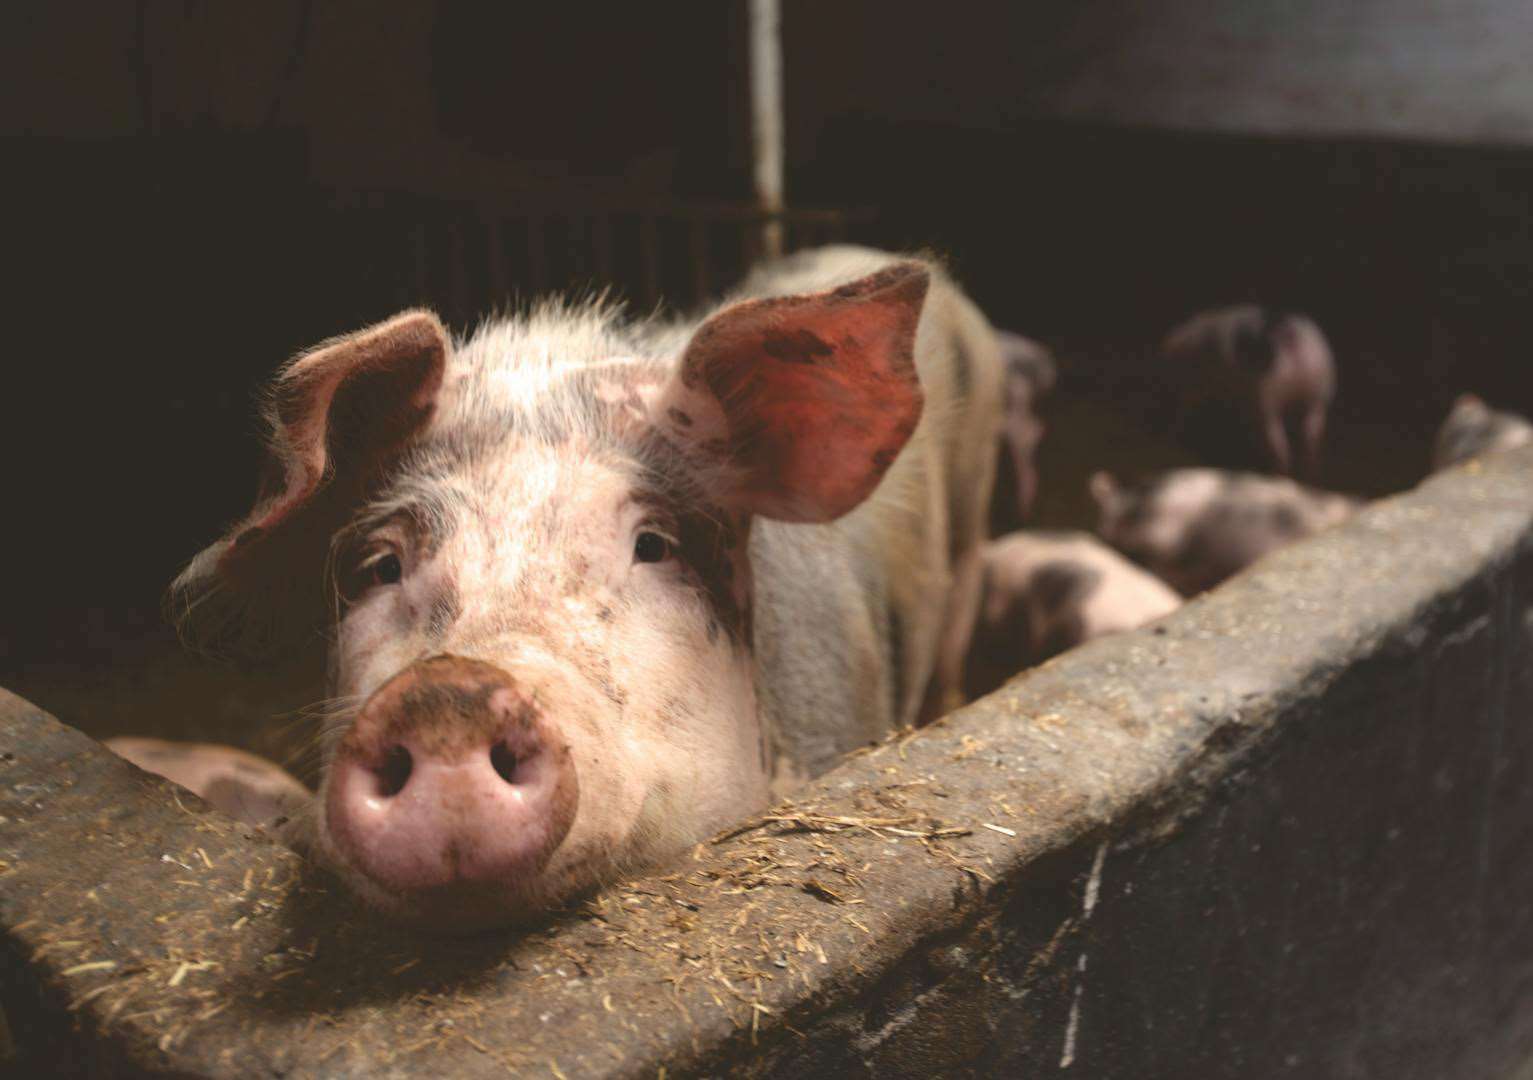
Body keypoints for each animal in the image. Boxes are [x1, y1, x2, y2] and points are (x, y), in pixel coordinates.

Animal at [1160, 304, 1336, 478]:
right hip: (1313, 399)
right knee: (1308, 437)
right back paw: (1304, 473)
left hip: (1266, 399)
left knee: (1276, 441)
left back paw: (1278, 473)